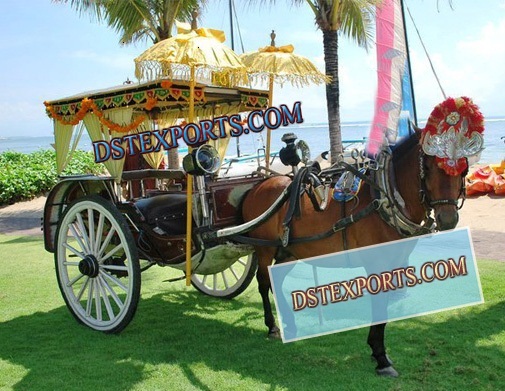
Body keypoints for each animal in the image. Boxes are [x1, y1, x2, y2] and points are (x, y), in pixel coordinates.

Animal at [241, 97, 484, 376]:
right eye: (429, 166)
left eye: (464, 166)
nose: (448, 218)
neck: (385, 197)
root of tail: (258, 185)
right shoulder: (376, 263)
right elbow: (378, 304)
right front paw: (380, 356)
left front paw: (378, 351)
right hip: (264, 249)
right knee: (263, 282)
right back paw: (272, 326)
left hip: (288, 250)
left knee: (276, 281)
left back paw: (289, 323)